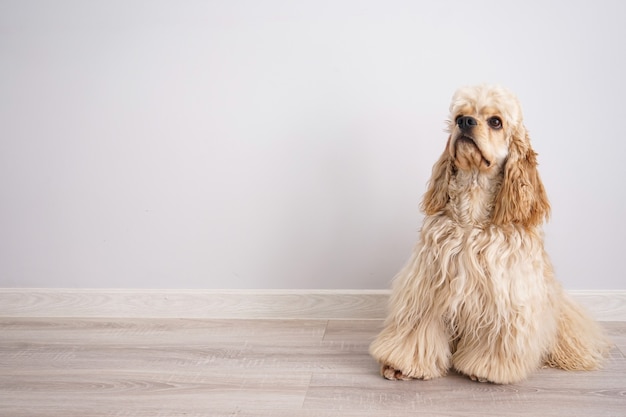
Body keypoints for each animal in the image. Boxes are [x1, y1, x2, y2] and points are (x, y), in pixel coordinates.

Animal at [368, 84, 608, 384]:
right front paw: (401, 365)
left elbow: (498, 337)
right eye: (459, 116)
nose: (465, 123)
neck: (472, 213)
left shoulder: (507, 296)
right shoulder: (428, 286)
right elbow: (417, 330)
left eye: (496, 121)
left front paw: (487, 370)